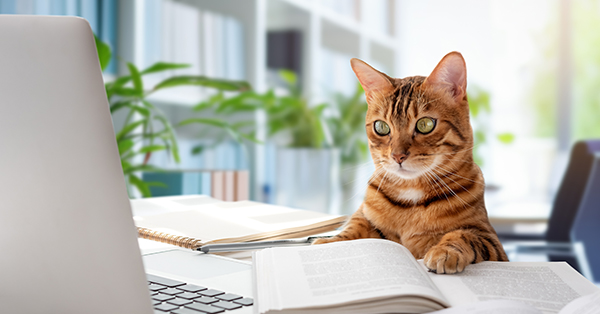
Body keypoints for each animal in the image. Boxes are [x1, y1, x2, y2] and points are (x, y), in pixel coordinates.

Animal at [312, 51, 508, 272]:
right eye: (381, 127)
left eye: (425, 124)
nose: (398, 156)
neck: (411, 193)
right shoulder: (365, 216)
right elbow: (354, 227)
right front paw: (331, 243)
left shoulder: (492, 242)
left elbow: (464, 234)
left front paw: (445, 251)